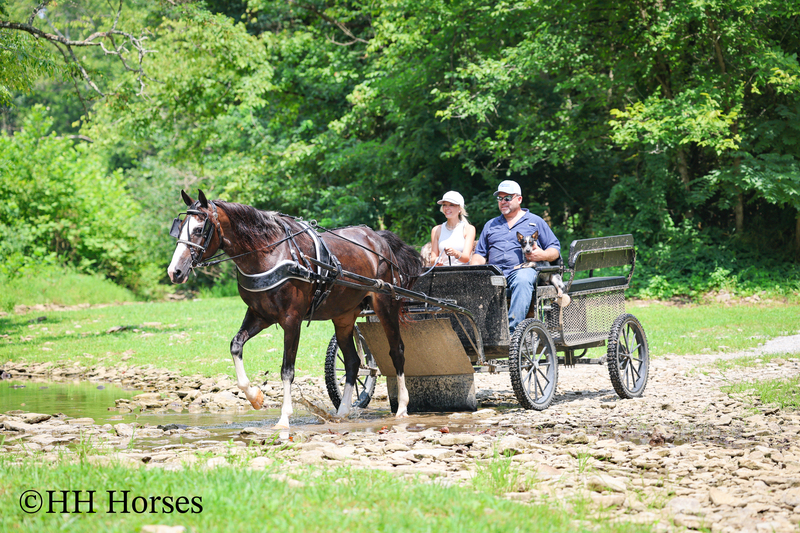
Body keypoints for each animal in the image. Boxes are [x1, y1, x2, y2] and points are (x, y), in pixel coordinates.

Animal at [167, 190, 422, 428]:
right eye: (179, 229)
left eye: (199, 230)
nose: (174, 271)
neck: (269, 254)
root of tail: (378, 239)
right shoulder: (259, 315)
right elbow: (236, 345)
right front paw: (255, 397)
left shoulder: (292, 320)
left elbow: (287, 369)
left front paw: (284, 417)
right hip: (344, 317)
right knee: (352, 362)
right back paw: (342, 412)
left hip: (385, 304)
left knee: (397, 351)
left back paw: (402, 407)